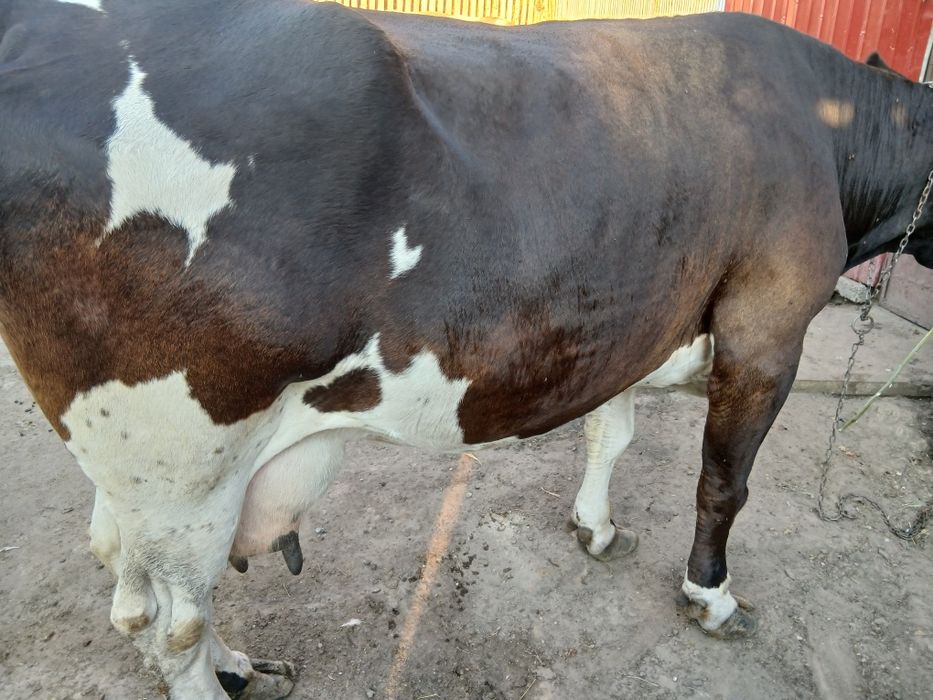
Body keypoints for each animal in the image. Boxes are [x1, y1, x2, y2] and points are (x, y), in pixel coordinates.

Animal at [1, 0, 931, 697]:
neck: (834, 134)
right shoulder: (766, 330)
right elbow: (722, 485)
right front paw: (712, 597)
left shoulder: (633, 319)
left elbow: (611, 434)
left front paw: (595, 527)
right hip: (182, 461)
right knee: (170, 619)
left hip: (134, 466)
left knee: (132, 586)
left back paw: (237, 666)